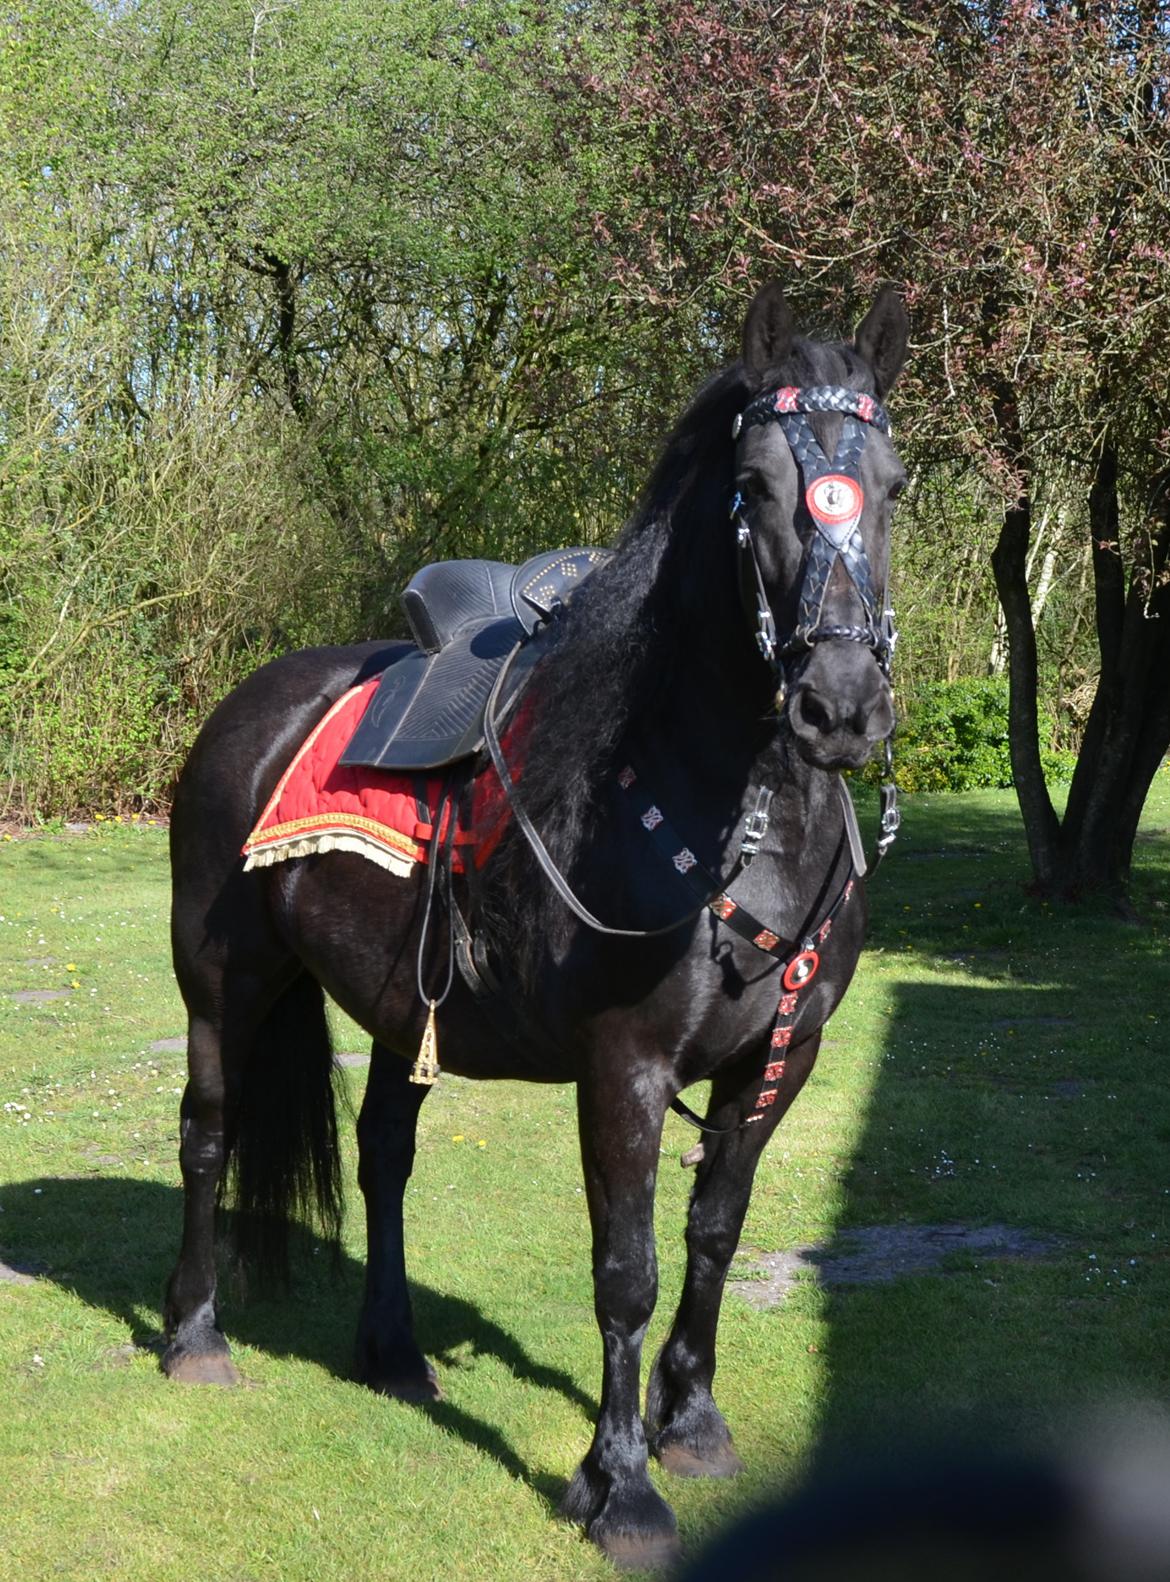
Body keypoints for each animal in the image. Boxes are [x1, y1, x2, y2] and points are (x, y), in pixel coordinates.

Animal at [164, 284, 910, 1569]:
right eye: (755, 483)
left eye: (896, 483)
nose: (840, 705)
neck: (736, 812)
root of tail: (248, 708)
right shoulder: (624, 1066)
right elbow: (627, 1268)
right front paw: (621, 1488)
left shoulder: (781, 1060)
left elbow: (716, 1234)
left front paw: (692, 1423)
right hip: (225, 984)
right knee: (208, 1135)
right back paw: (195, 1338)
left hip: (400, 1008)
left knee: (383, 1153)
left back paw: (394, 1352)